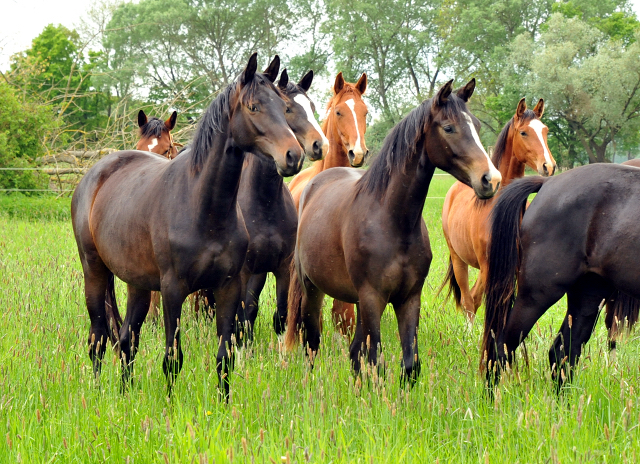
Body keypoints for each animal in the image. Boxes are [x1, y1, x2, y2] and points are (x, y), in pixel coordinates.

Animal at [440, 98, 556, 320]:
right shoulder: (489, 267)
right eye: (524, 132)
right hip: (460, 261)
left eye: (545, 130)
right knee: (469, 301)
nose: (549, 166)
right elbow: (482, 303)